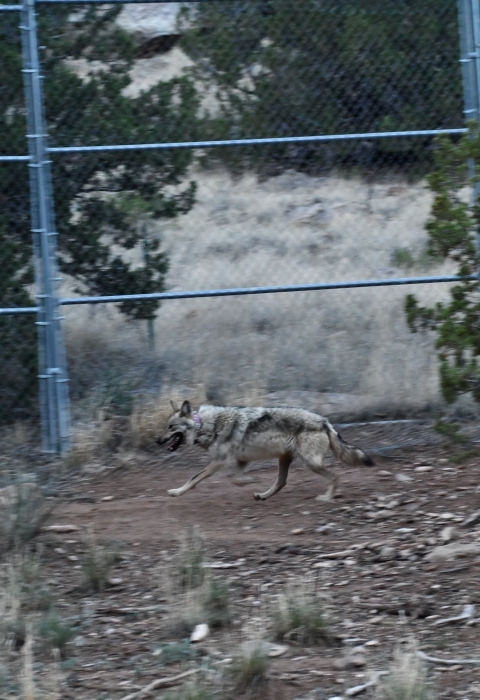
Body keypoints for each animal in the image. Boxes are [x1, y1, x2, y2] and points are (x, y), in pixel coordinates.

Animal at [157, 400, 374, 501]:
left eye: (171, 427)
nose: (157, 440)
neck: (204, 425)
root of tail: (325, 421)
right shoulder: (240, 461)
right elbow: (235, 478)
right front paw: (251, 481)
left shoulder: (220, 461)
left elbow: (194, 478)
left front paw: (176, 492)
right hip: (285, 460)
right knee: (281, 482)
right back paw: (263, 495)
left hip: (309, 463)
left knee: (335, 476)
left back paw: (327, 498)